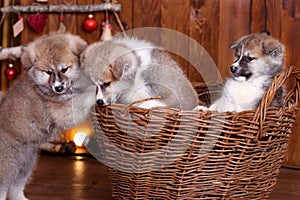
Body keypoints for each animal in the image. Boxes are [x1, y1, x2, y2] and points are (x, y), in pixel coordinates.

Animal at [0, 33, 92, 200]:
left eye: (64, 69)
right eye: (48, 72)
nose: (58, 88)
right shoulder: (64, 111)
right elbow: (85, 97)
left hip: (25, 163)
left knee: (15, 188)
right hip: (7, 164)